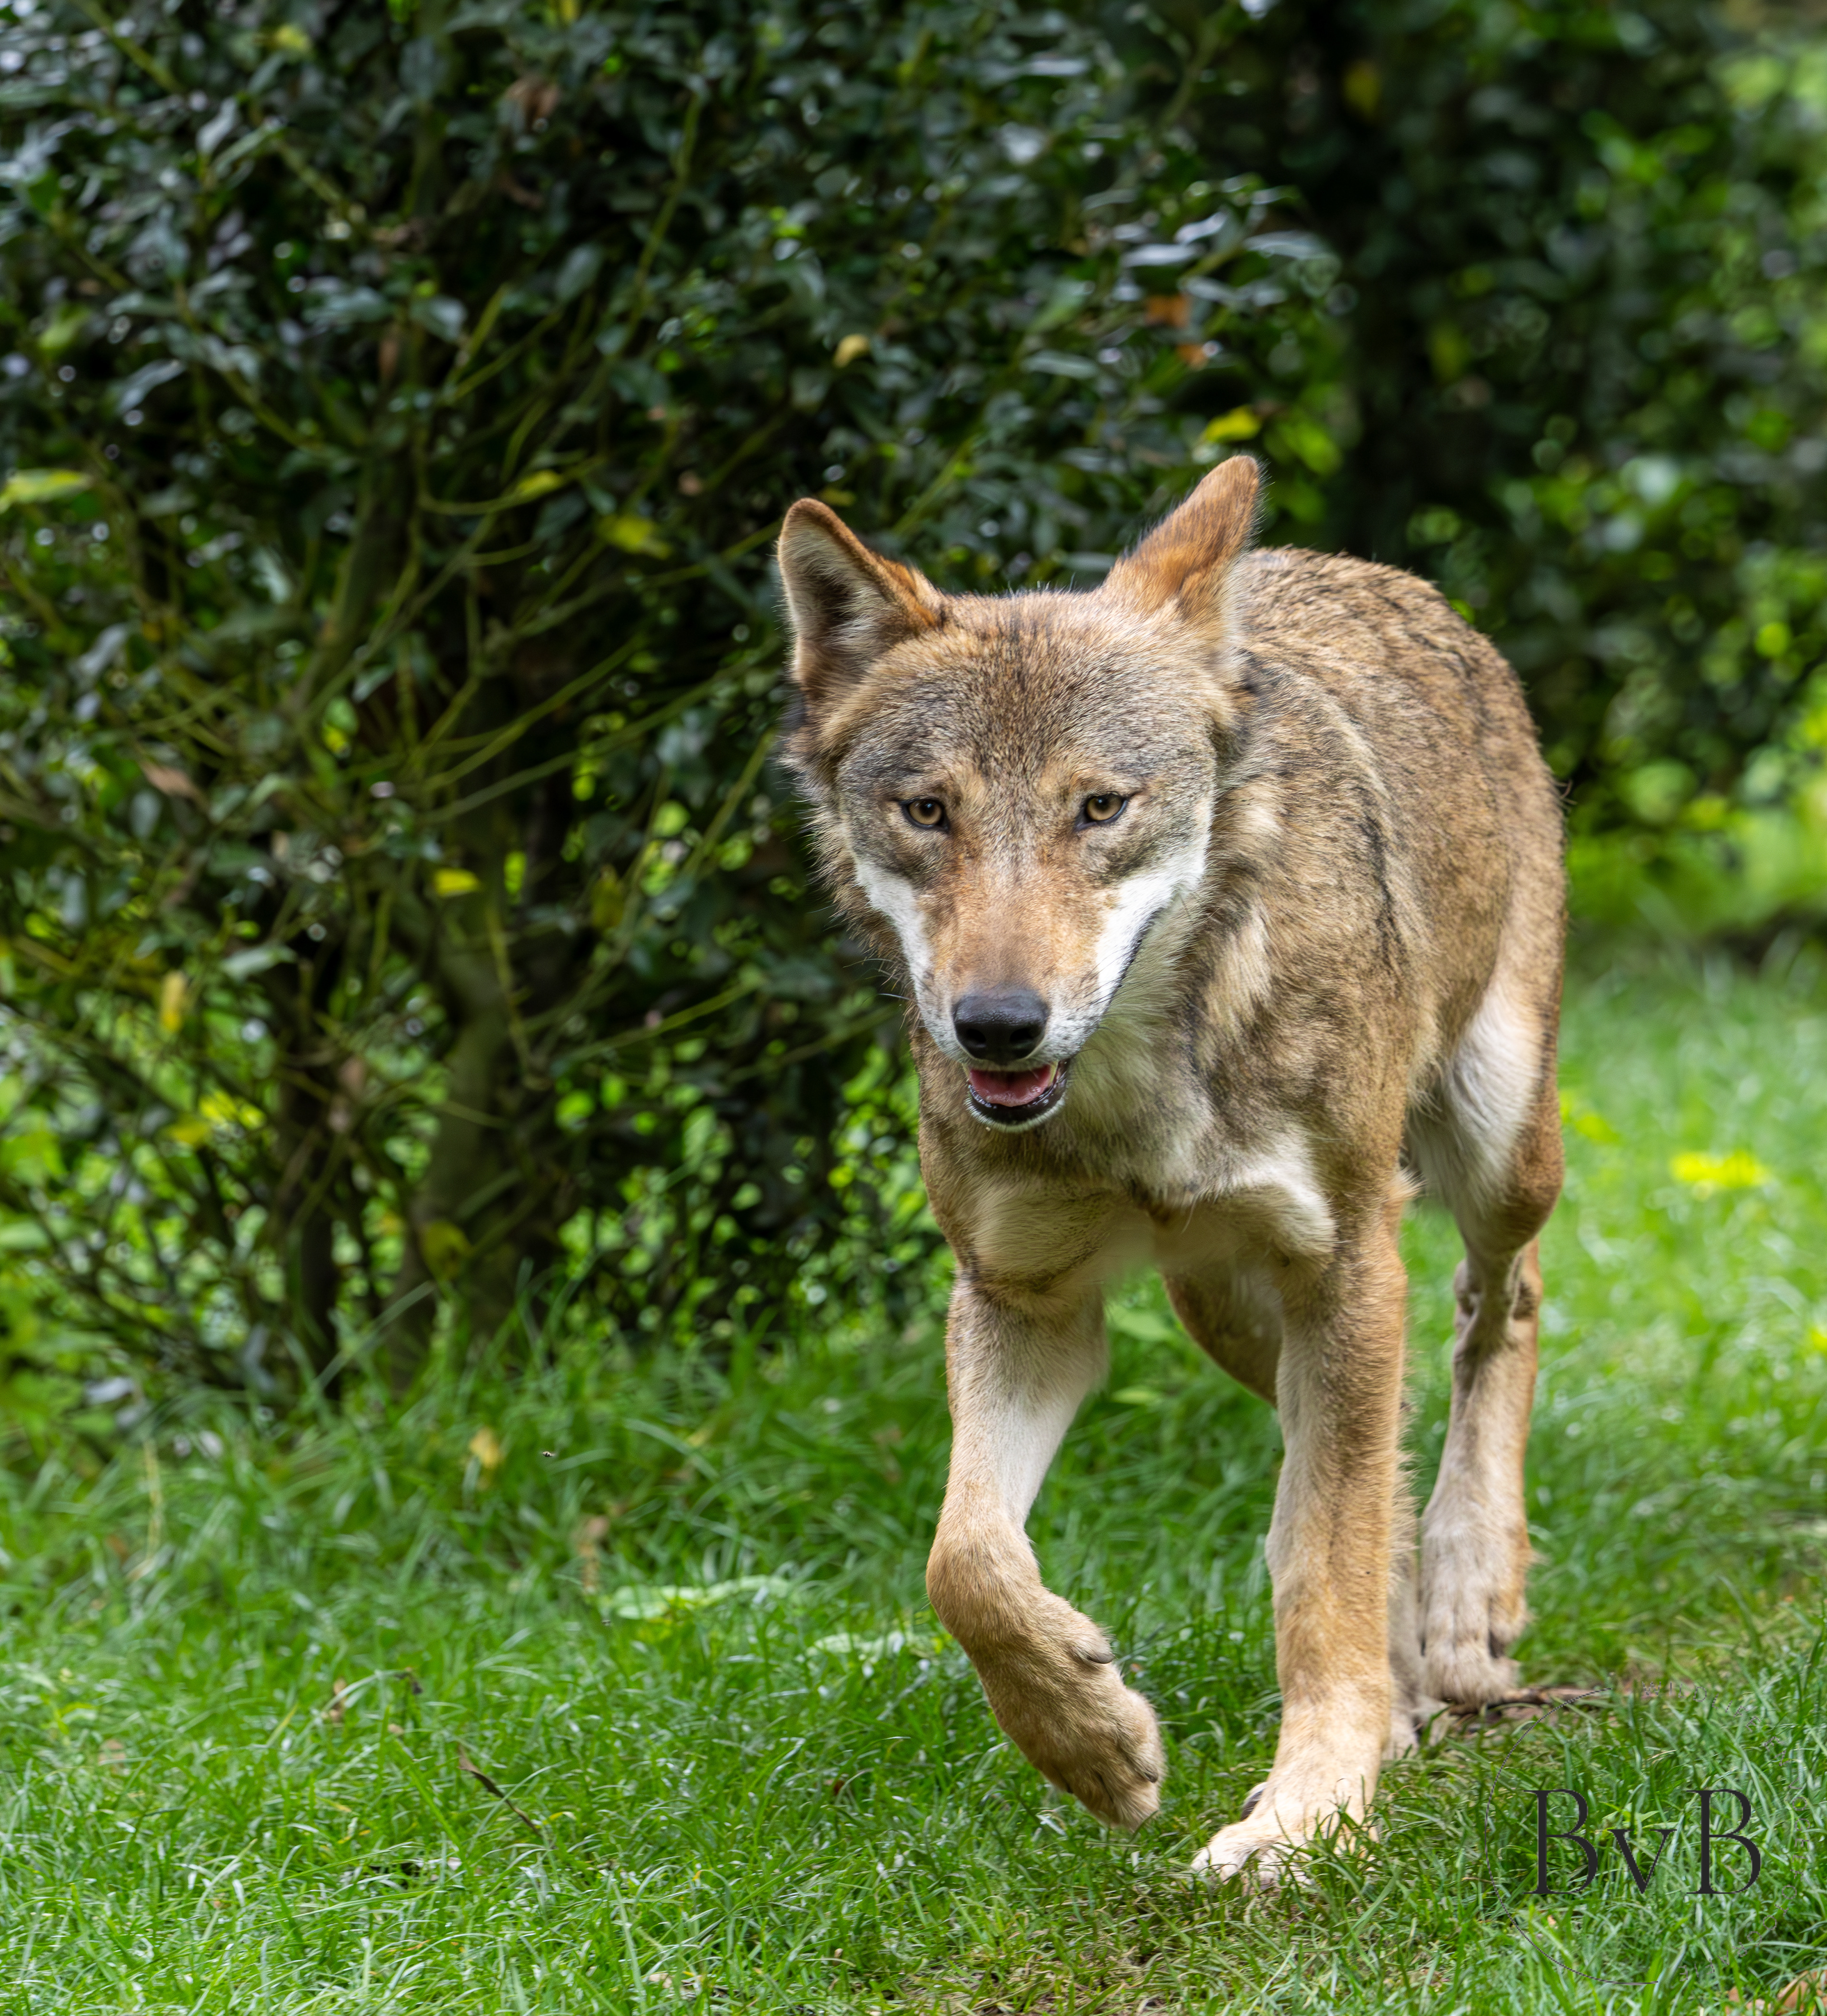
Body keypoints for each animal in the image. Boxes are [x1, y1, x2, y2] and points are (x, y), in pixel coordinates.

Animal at [776, 455, 1563, 1882]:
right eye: (928, 812)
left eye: (1100, 807)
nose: (997, 1025)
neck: (1135, 1101)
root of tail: (1368, 572)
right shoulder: (1025, 1305)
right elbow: (964, 1560)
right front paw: (1091, 1740)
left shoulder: (1347, 1261)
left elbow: (1324, 1577)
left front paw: (1309, 1809)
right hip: (1229, 1313)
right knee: (1353, 1466)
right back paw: (1409, 1674)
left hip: (1490, 1149)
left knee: (1499, 1308)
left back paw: (1469, 1596)